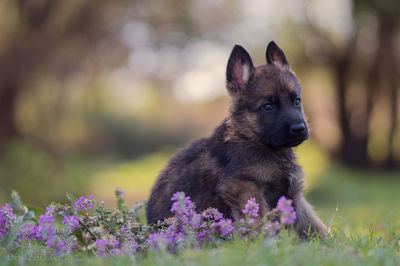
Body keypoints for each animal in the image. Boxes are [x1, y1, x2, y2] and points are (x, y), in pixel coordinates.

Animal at [147, 42, 328, 239]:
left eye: (296, 101)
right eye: (268, 106)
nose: (299, 129)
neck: (254, 139)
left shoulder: (294, 196)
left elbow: (314, 225)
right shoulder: (244, 187)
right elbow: (259, 220)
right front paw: (269, 242)